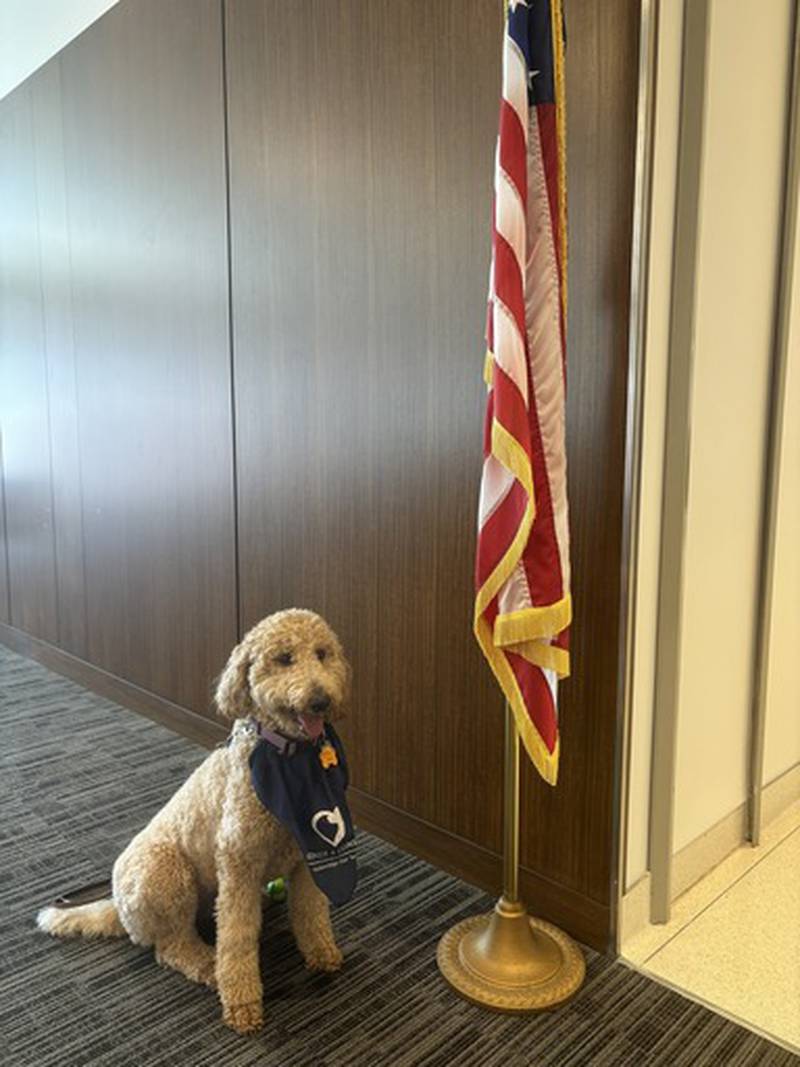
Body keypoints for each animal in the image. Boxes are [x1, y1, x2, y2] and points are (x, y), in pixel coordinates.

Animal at [37, 610, 349, 1032]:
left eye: (322, 654)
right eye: (284, 658)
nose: (320, 700)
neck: (284, 756)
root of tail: (118, 908)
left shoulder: (305, 858)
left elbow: (311, 912)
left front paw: (322, 954)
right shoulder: (238, 866)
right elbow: (236, 938)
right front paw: (242, 1002)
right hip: (166, 872)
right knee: (170, 947)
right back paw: (205, 964)